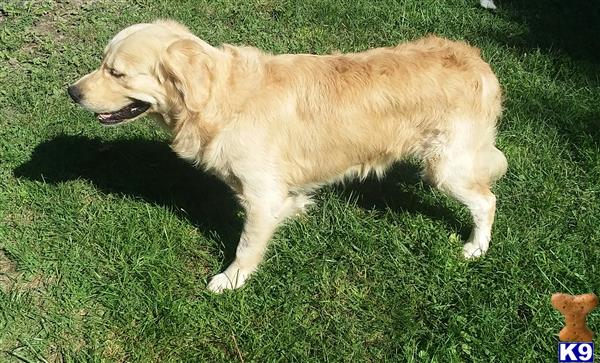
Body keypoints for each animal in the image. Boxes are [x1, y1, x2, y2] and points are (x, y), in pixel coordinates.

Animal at [68, 19, 506, 292]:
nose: (71, 91)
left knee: (487, 200)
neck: (221, 99)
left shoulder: (260, 195)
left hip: (446, 166)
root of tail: (478, 61)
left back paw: (477, 247)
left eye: (117, 73)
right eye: (103, 64)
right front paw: (295, 210)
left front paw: (231, 280)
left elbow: (246, 246)